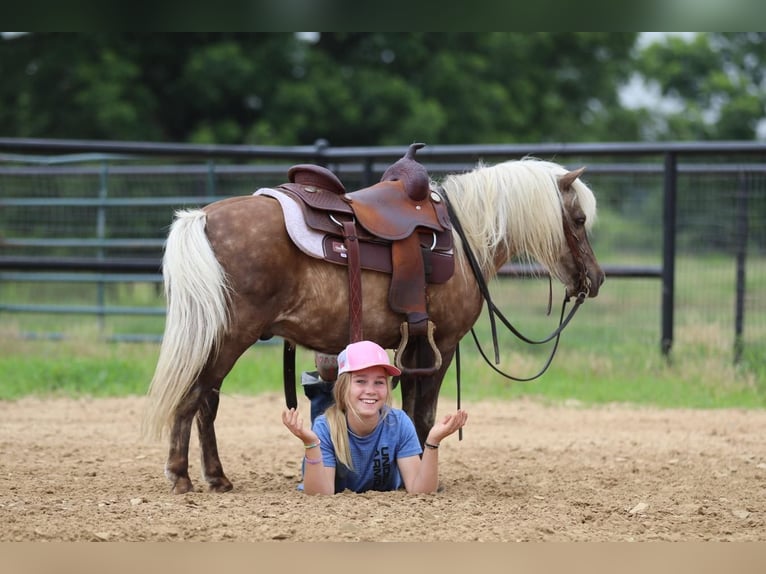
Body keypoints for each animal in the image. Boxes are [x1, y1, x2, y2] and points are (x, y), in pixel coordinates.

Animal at [140, 156, 608, 496]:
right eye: (580, 220)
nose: (596, 278)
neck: (464, 240)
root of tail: (204, 217)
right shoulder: (442, 345)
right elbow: (425, 413)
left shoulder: (415, 347)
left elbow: (413, 413)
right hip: (231, 336)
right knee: (195, 396)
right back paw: (181, 476)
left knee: (207, 401)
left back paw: (217, 478)